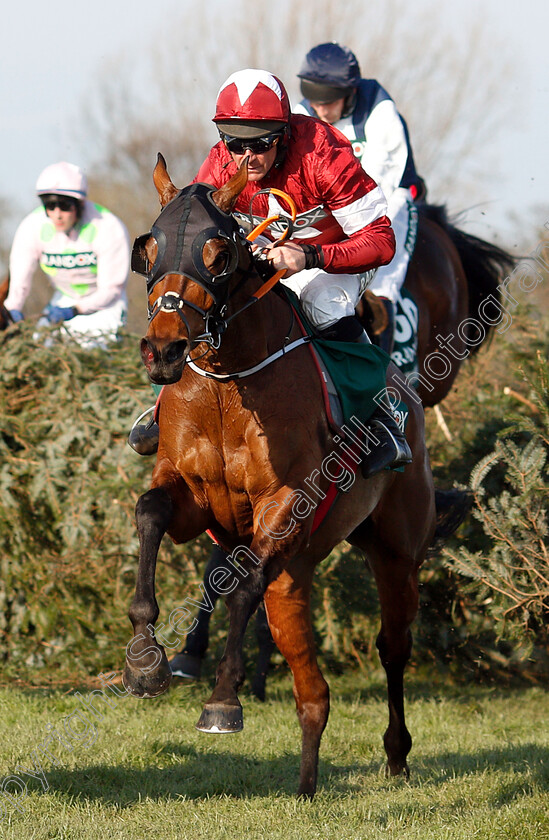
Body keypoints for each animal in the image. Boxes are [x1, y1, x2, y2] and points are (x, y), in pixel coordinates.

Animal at [124, 156, 470, 796]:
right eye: (149, 247)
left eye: (217, 253)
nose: (164, 350)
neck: (227, 384)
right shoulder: (190, 494)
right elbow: (151, 513)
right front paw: (144, 659)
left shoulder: (285, 504)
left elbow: (242, 586)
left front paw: (222, 701)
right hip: (297, 576)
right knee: (314, 691)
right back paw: (307, 785)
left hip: (395, 553)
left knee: (392, 648)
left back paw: (397, 754)